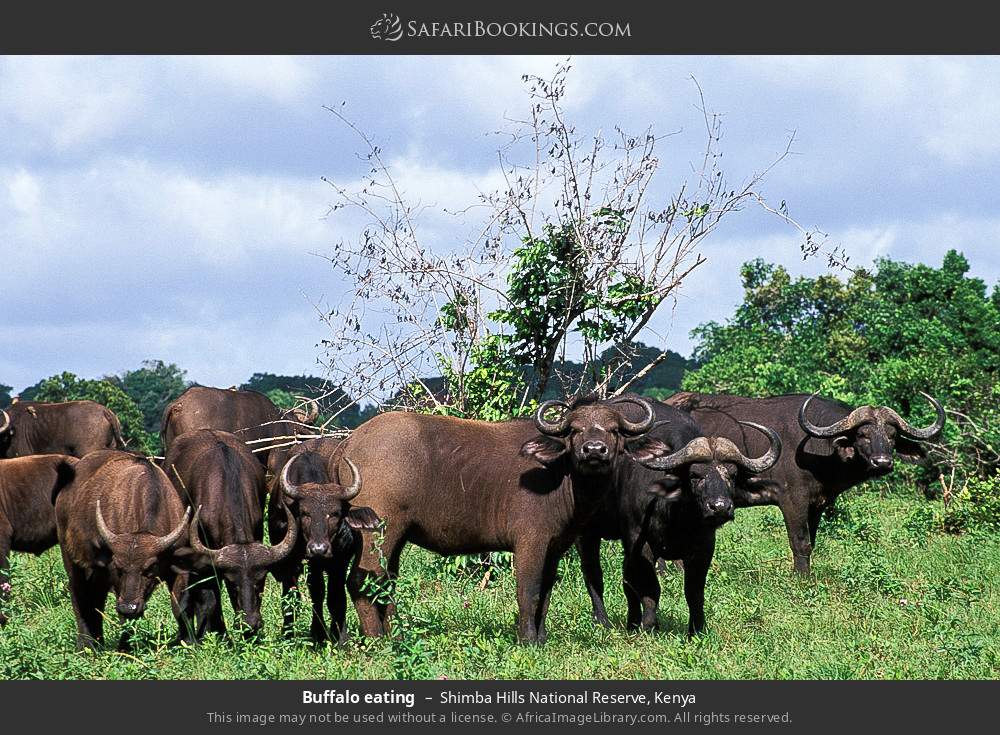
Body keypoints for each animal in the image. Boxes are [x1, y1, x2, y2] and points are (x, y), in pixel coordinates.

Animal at [53, 450, 191, 650]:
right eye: (118, 567)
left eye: (149, 568)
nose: (129, 607)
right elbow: (124, 618)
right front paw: (125, 647)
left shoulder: (176, 570)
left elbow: (179, 606)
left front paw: (188, 641)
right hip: (71, 559)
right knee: (79, 596)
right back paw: (85, 646)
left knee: (96, 600)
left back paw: (97, 642)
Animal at [268, 440, 381, 643]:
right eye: (305, 513)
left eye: (335, 513)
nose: (318, 549)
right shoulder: (290, 562)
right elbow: (298, 595)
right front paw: (306, 634)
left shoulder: (339, 561)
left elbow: (336, 597)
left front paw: (340, 637)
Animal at [337, 394, 671, 644]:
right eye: (575, 430)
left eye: (613, 430)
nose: (594, 451)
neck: (560, 475)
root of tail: (349, 444)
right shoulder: (529, 543)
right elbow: (529, 590)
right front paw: (527, 639)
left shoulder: (554, 548)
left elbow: (545, 592)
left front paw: (541, 637)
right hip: (379, 530)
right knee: (362, 580)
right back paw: (377, 641)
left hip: (397, 536)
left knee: (385, 582)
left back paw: (394, 636)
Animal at [577, 398, 781, 635]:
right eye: (695, 475)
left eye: (732, 475)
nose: (719, 507)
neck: (678, 519)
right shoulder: (641, 543)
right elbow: (651, 588)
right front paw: (649, 626)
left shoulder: (703, 547)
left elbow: (694, 592)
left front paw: (697, 630)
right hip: (586, 533)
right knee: (593, 575)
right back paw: (603, 621)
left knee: (627, 580)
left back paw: (631, 622)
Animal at [667, 391, 945, 574]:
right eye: (863, 435)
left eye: (892, 435)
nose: (882, 462)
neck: (818, 450)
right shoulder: (792, 500)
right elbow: (800, 542)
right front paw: (802, 578)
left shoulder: (817, 504)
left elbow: (812, 540)